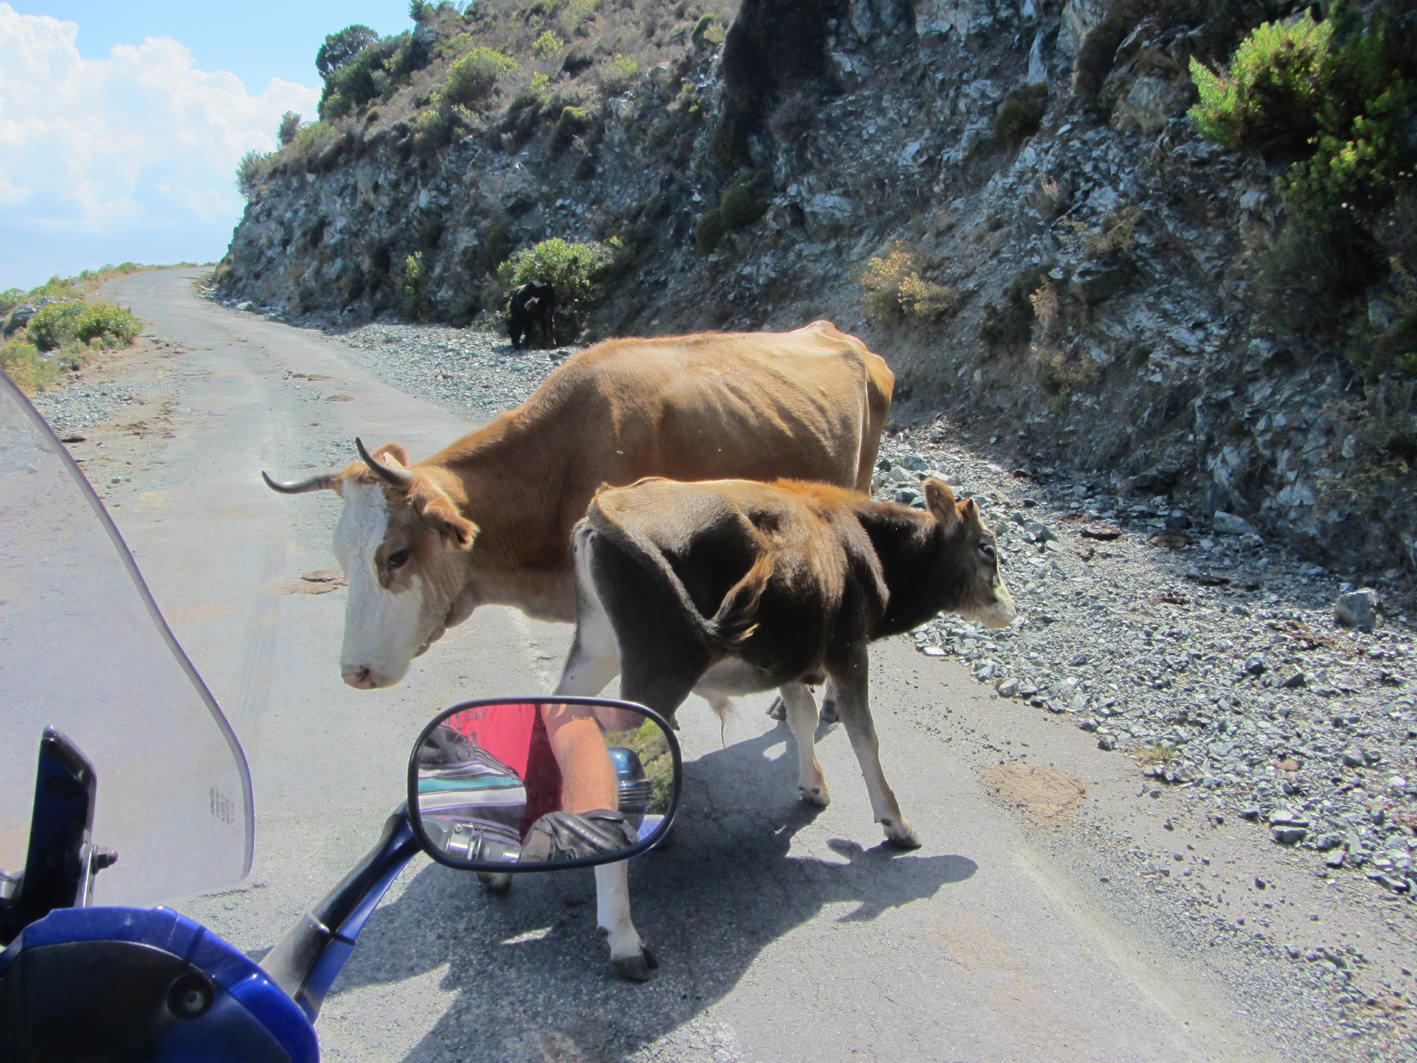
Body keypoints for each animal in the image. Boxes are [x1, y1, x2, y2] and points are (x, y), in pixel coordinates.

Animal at [552, 479, 1020, 980]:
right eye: (988, 548)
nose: (1012, 611)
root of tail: (610, 503)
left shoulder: (794, 654)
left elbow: (803, 716)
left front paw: (813, 787)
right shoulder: (848, 648)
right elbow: (864, 736)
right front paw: (897, 823)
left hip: (595, 649)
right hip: (661, 668)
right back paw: (624, 938)